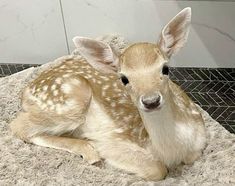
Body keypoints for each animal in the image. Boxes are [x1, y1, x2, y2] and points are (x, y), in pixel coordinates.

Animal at [10, 8, 206, 181]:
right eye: (124, 78)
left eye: (165, 69)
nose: (151, 101)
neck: (172, 150)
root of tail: (26, 90)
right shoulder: (113, 141)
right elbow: (157, 169)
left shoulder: (199, 139)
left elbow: (192, 156)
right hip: (71, 100)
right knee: (18, 126)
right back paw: (89, 151)